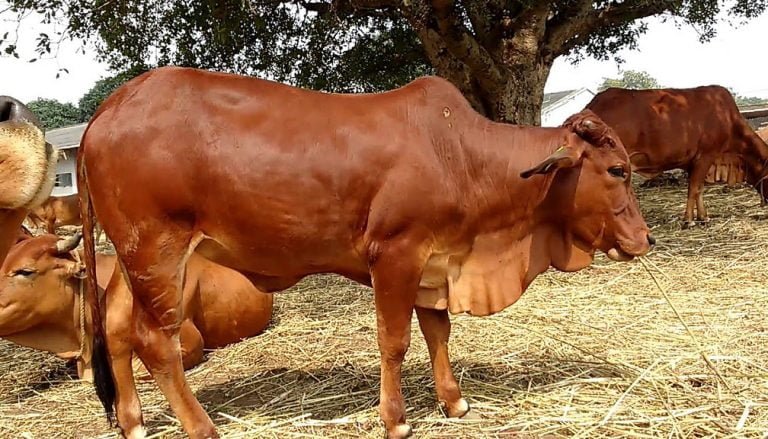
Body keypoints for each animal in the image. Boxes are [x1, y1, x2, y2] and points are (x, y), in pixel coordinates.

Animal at [78, 67, 654, 439]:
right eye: (618, 170)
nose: (646, 239)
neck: (461, 157)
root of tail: (111, 105)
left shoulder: (435, 262)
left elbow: (438, 332)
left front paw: (453, 401)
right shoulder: (397, 253)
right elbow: (395, 341)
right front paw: (396, 419)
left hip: (133, 260)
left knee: (118, 328)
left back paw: (133, 423)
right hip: (159, 251)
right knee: (157, 343)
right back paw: (201, 427)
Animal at [585, 86, 768, 228]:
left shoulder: (694, 163)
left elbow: (698, 190)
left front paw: (703, 217)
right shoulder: (705, 157)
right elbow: (694, 189)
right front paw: (689, 220)